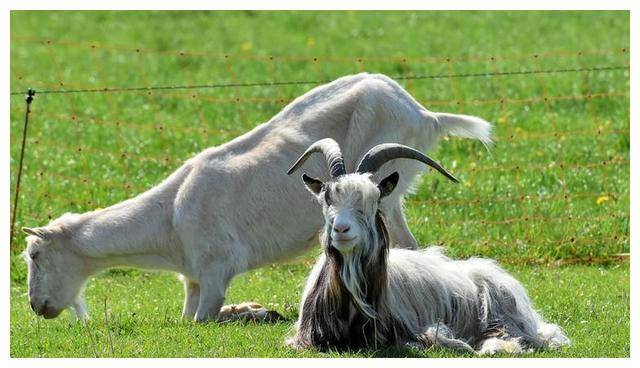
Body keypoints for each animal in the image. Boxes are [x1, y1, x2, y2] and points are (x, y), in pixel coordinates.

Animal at [20, 72, 490, 322]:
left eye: (35, 256)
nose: (37, 306)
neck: (170, 219)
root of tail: (425, 114)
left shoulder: (215, 272)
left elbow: (204, 321)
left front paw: (256, 312)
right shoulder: (194, 279)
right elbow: (188, 318)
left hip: (387, 192)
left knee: (407, 246)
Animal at [284, 138, 568, 354]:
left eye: (374, 200)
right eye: (326, 199)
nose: (341, 230)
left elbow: (426, 340)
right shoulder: (306, 340)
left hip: (500, 310)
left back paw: (495, 347)